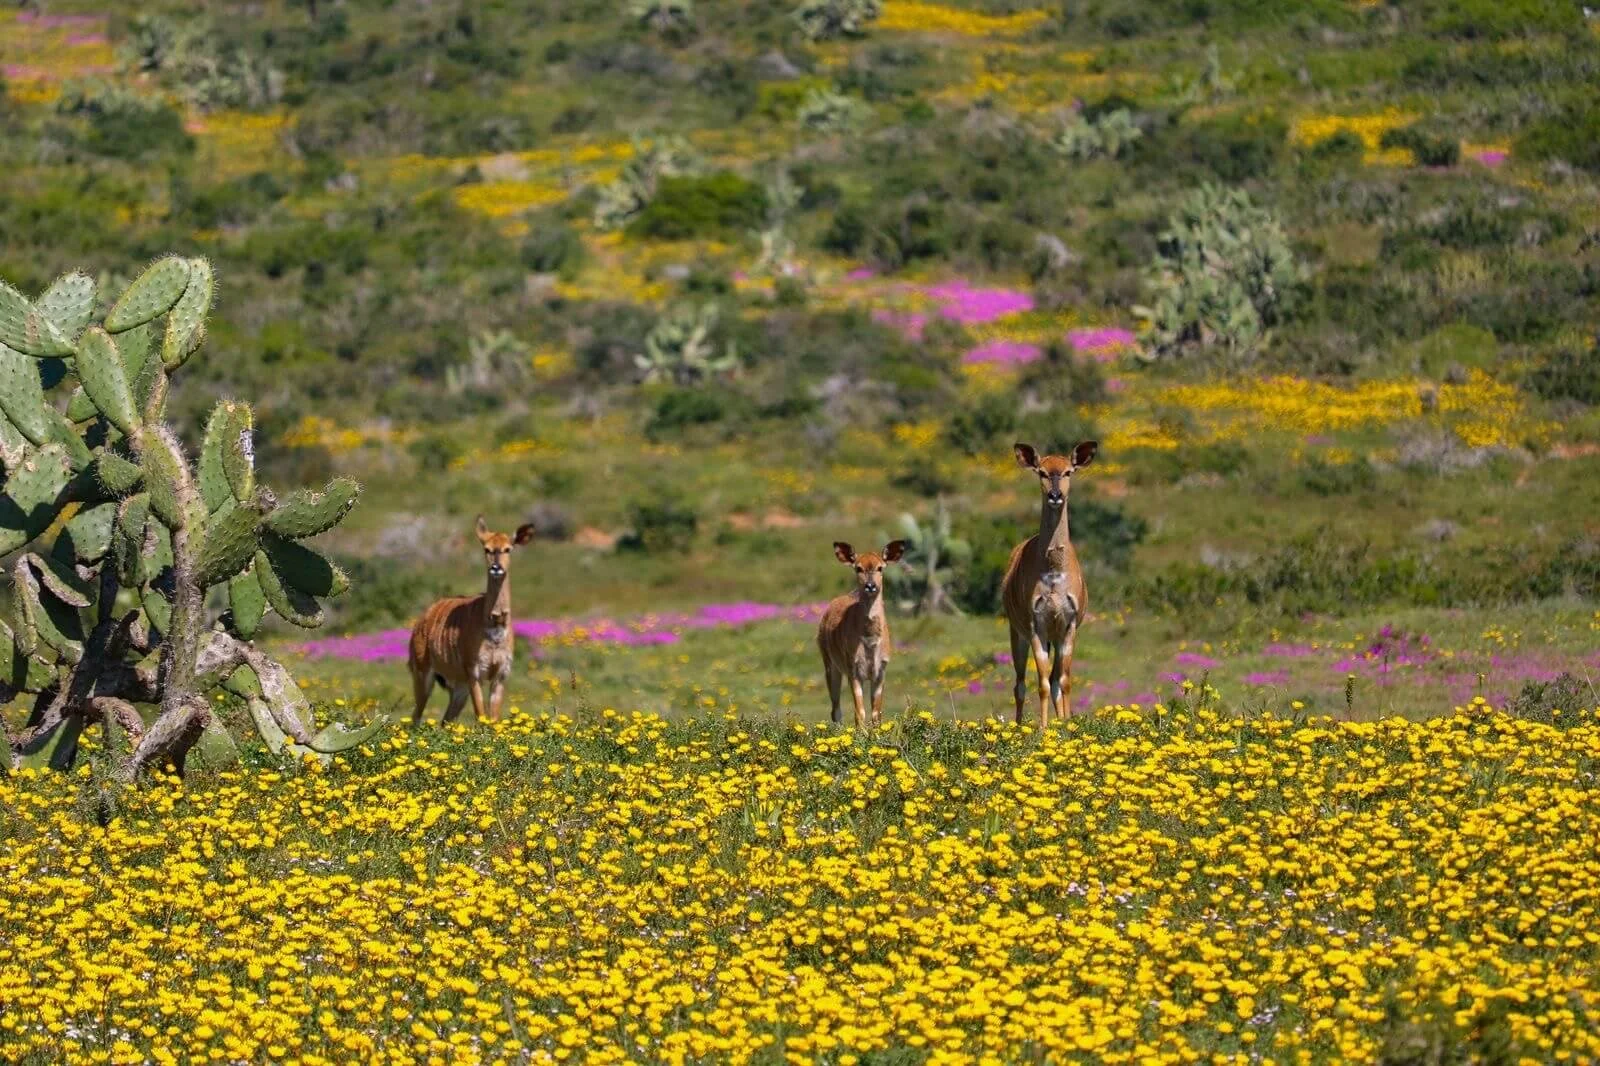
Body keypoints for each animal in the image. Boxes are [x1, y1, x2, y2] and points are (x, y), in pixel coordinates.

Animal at [408, 515, 535, 727]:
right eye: (487, 549)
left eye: (508, 548)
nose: (496, 568)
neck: (494, 627)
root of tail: (419, 623)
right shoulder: (474, 671)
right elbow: (481, 716)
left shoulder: (501, 674)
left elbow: (493, 719)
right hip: (422, 673)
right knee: (415, 717)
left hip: (458, 687)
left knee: (445, 721)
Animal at [818, 539, 907, 730]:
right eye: (858, 568)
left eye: (881, 567)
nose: (870, 586)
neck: (870, 641)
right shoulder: (853, 668)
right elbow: (860, 713)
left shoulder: (881, 670)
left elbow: (876, 714)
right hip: (830, 663)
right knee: (835, 709)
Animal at [1001, 440, 1098, 726]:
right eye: (1042, 472)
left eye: (1068, 471)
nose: (1055, 496)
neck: (1054, 574)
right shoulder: (1036, 625)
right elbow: (1042, 683)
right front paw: (1044, 729)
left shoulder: (1068, 624)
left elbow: (1063, 681)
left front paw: (1066, 725)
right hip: (1017, 632)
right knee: (1020, 683)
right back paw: (1019, 725)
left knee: (1054, 679)